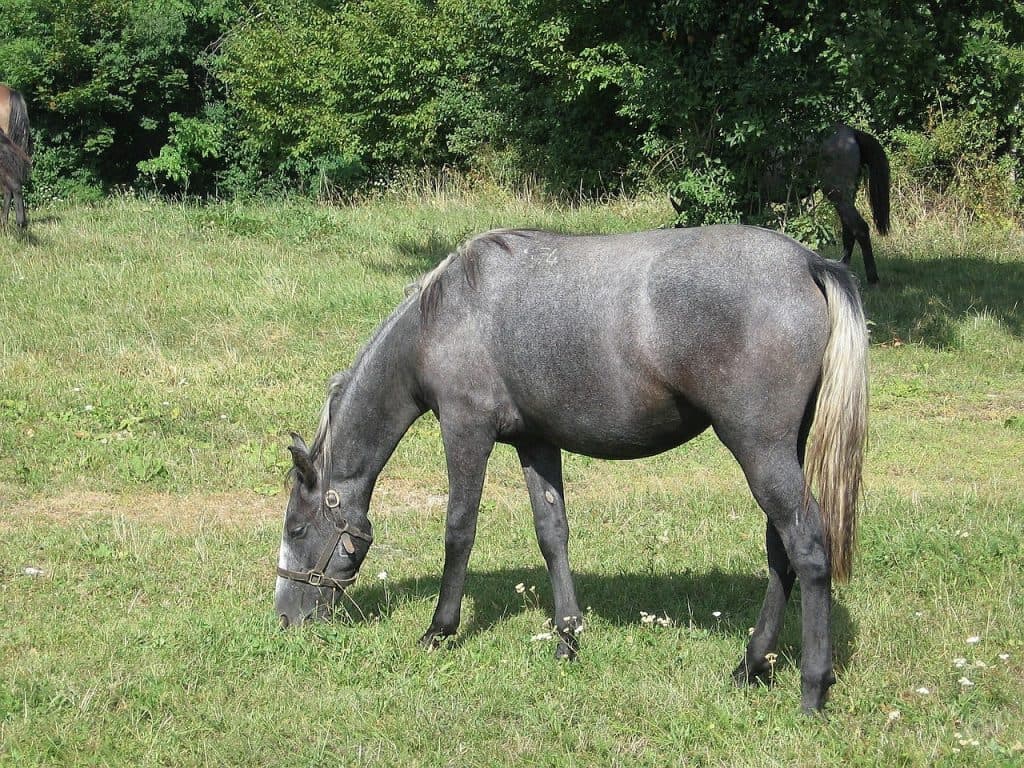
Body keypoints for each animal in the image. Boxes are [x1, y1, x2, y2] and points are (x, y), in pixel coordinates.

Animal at [274, 225, 869, 713]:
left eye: (297, 529)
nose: (284, 617)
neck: (444, 316)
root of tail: (809, 264)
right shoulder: (535, 443)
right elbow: (552, 533)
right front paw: (567, 638)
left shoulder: (466, 432)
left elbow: (459, 530)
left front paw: (440, 630)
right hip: (780, 451)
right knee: (780, 553)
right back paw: (750, 665)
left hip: (760, 450)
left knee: (807, 549)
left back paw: (813, 687)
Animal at [672, 125, 891, 283]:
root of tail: (851, 133)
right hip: (844, 195)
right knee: (849, 230)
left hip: (837, 192)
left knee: (860, 228)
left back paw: (872, 277)